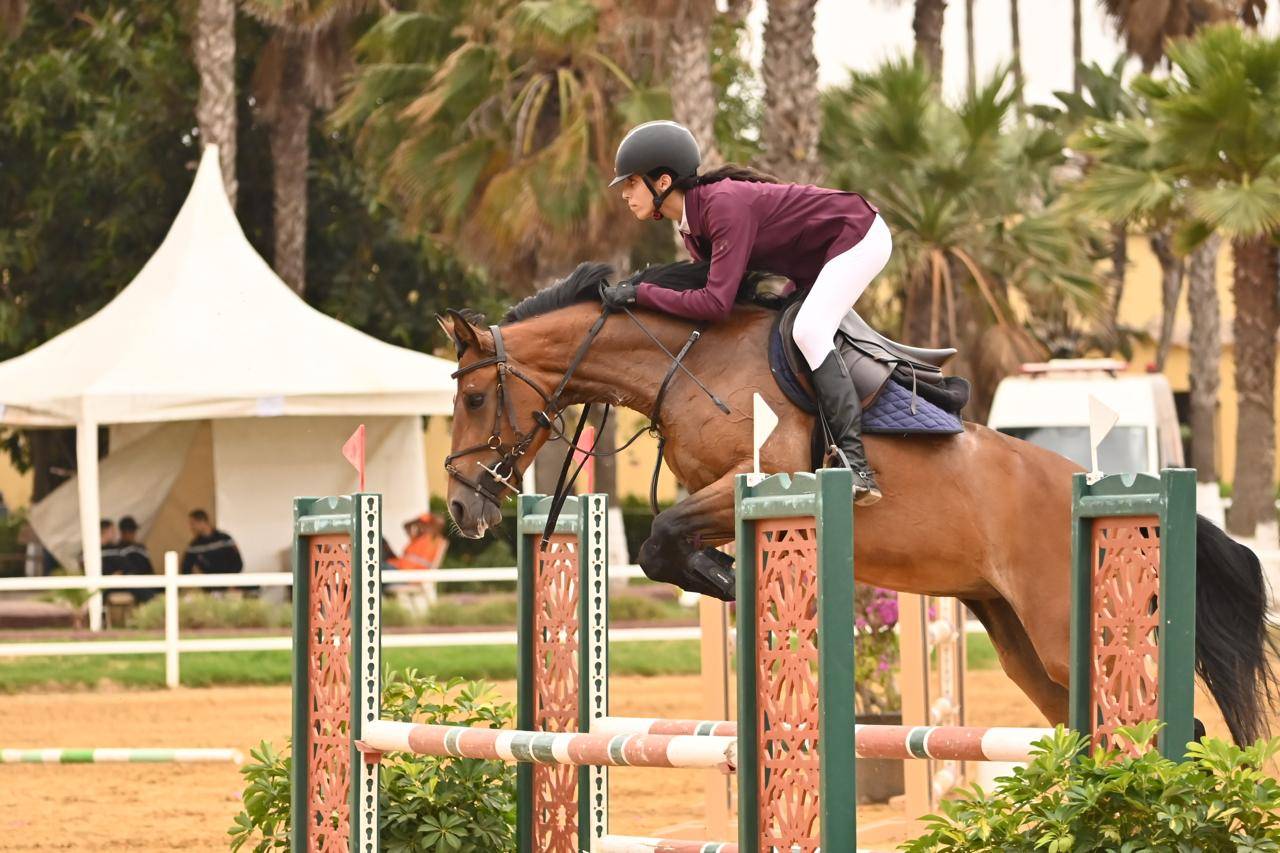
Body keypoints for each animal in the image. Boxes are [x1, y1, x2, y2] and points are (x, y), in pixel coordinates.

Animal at [440, 261, 1278, 747]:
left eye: (476, 398)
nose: (459, 509)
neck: (690, 361)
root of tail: (1103, 489)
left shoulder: (765, 477)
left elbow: (661, 539)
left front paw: (726, 579)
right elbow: (664, 545)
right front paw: (726, 579)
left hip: (1068, 628)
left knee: (1172, 723)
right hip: (1020, 638)